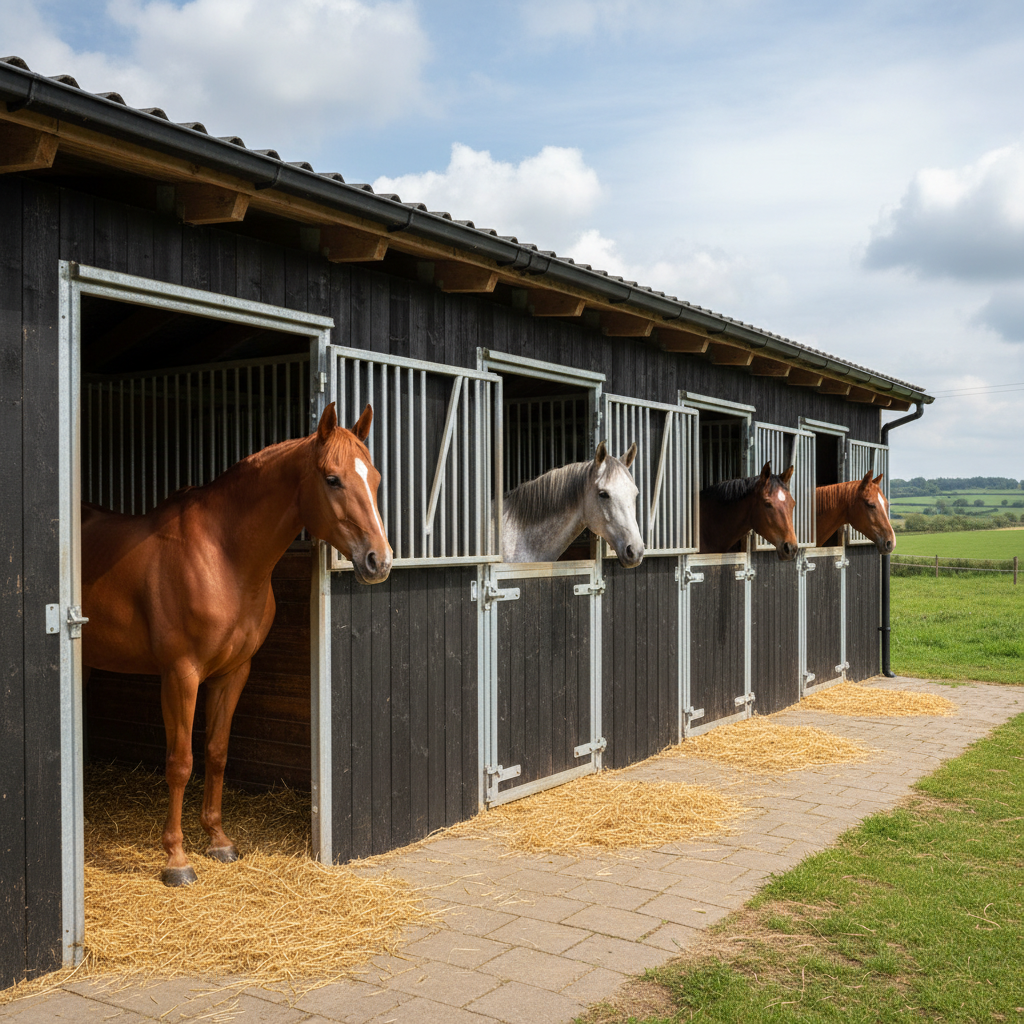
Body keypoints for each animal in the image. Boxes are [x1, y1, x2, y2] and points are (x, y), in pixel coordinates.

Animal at [81, 402, 392, 886]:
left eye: (374, 478)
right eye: (332, 478)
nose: (380, 560)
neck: (221, 556)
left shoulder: (233, 672)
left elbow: (217, 752)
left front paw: (219, 840)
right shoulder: (180, 675)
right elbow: (180, 762)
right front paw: (177, 860)